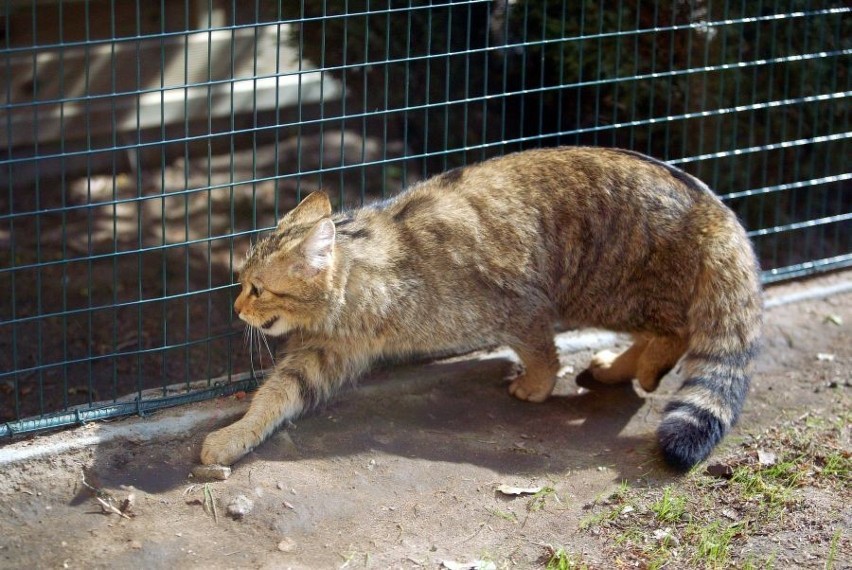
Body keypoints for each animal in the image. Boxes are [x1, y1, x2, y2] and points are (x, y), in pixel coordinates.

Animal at [201, 146, 764, 470]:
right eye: (243, 283)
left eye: (256, 288)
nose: (236, 307)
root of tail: (714, 203)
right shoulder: (321, 356)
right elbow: (273, 399)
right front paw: (233, 438)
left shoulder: (520, 306)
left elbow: (542, 351)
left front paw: (536, 385)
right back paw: (615, 369)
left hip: (606, 290)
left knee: (677, 332)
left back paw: (642, 370)